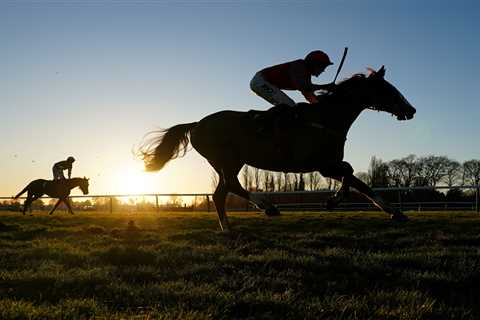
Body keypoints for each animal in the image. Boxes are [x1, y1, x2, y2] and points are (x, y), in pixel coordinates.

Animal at [140, 66, 416, 231]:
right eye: (387, 89)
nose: (411, 109)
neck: (327, 119)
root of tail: (197, 124)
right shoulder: (323, 165)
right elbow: (349, 173)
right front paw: (333, 200)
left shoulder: (329, 164)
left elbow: (363, 184)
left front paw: (395, 212)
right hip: (227, 159)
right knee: (228, 188)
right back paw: (263, 209)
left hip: (227, 162)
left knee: (224, 191)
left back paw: (235, 222)